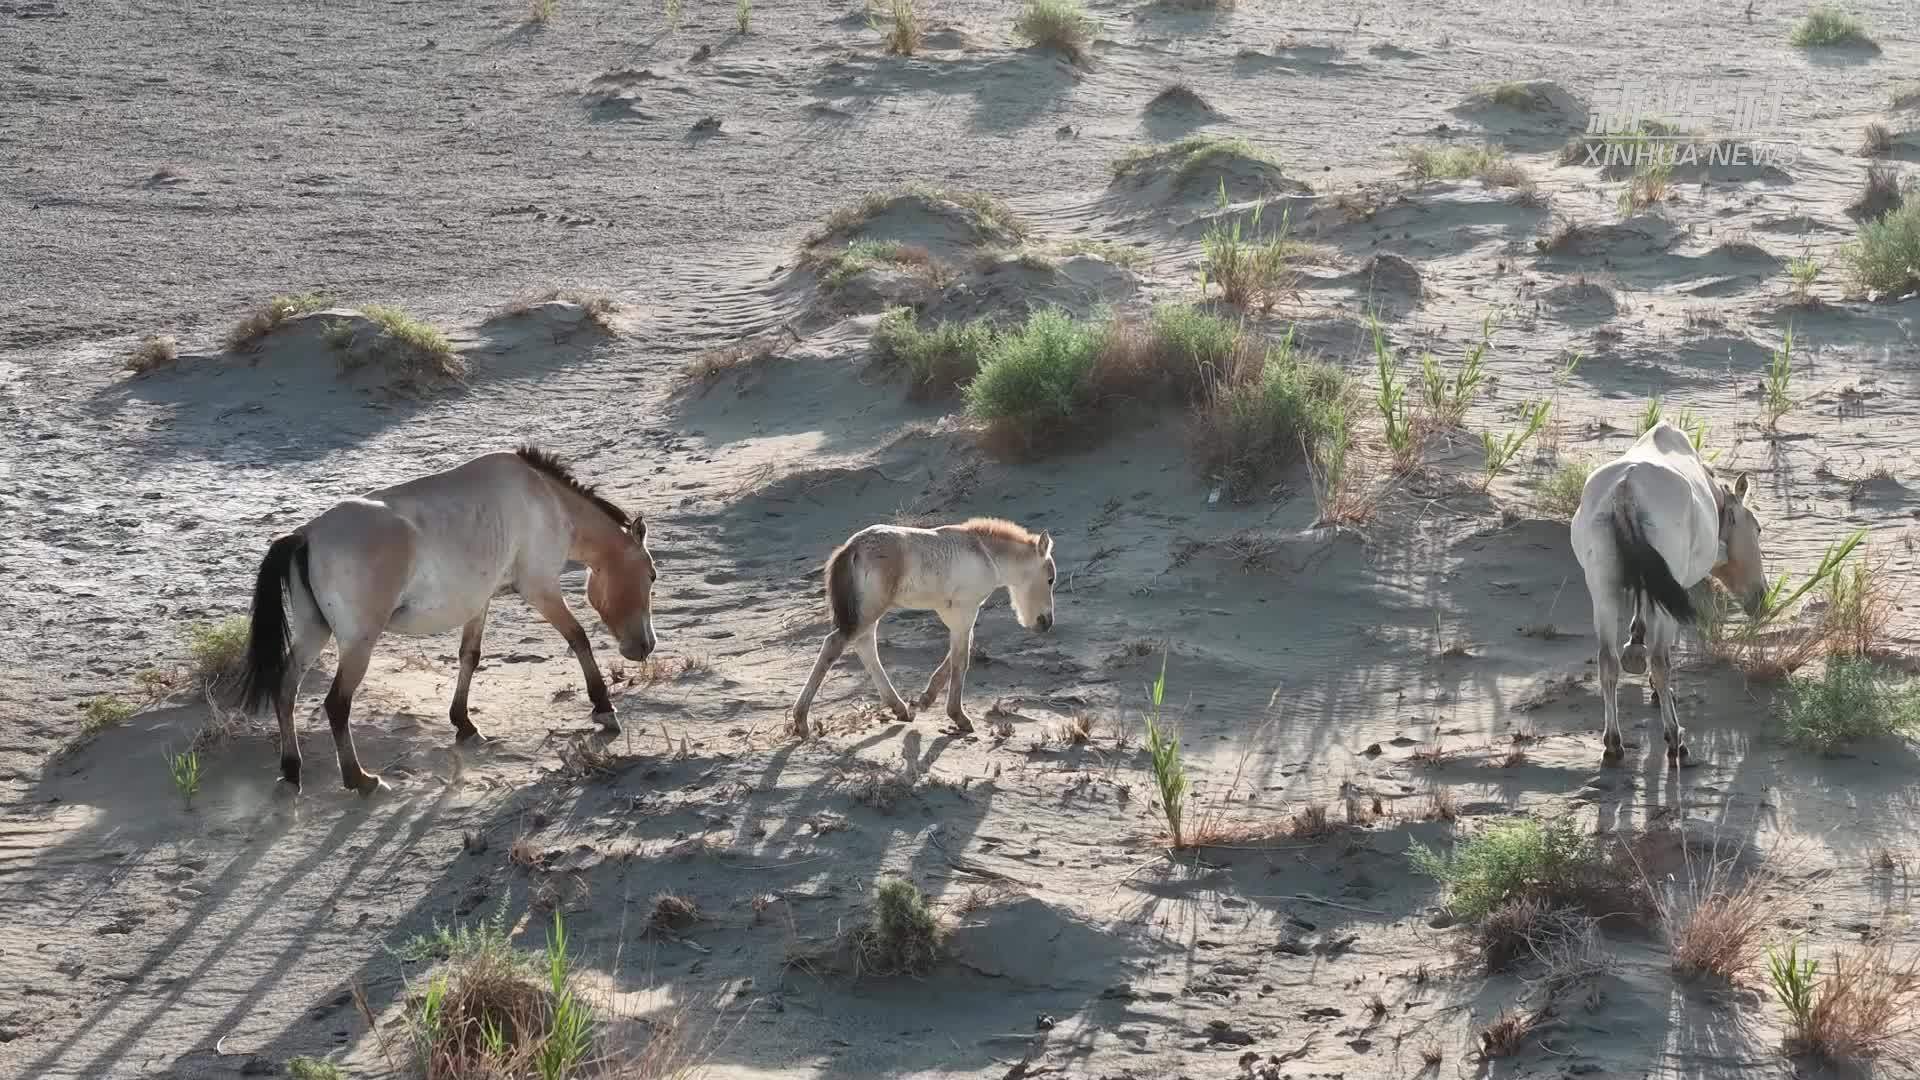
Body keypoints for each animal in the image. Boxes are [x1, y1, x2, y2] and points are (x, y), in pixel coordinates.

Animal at [237, 446, 658, 798]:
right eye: (652, 576)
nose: (646, 646)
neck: (545, 500)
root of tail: (305, 535)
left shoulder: (480, 601)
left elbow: (469, 656)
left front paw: (464, 723)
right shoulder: (540, 589)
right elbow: (578, 637)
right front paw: (604, 708)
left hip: (314, 632)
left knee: (286, 688)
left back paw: (292, 769)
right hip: (359, 643)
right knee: (336, 704)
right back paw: (360, 779)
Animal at [790, 517, 1057, 737]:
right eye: (1050, 579)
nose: (1046, 622)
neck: (986, 554)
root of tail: (851, 548)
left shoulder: (956, 616)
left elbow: (959, 654)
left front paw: (926, 699)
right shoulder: (965, 611)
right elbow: (961, 661)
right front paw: (958, 717)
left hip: (869, 615)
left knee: (866, 649)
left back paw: (900, 708)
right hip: (869, 612)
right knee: (834, 644)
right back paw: (801, 721)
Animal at [1570, 420, 1766, 767]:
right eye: (1756, 528)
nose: (1762, 597)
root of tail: (1625, 489)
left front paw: (1634, 644)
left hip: (1603, 591)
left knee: (1607, 661)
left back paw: (1613, 743)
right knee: (1660, 661)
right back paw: (1675, 738)